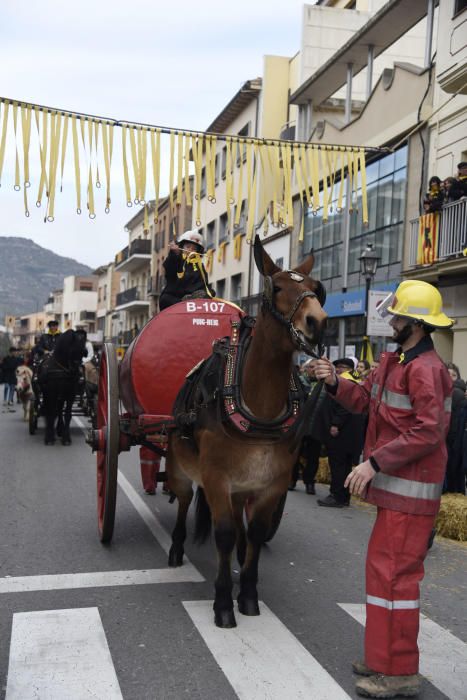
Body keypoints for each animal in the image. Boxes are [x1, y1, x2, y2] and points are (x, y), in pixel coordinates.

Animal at [166, 235, 328, 628]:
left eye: (316, 288)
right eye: (277, 287)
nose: (318, 322)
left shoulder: (271, 482)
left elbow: (254, 532)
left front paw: (249, 593)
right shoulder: (216, 477)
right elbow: (223, 533)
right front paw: (224, 601)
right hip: (179, 467)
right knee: (183, 500)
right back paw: (176, 547)